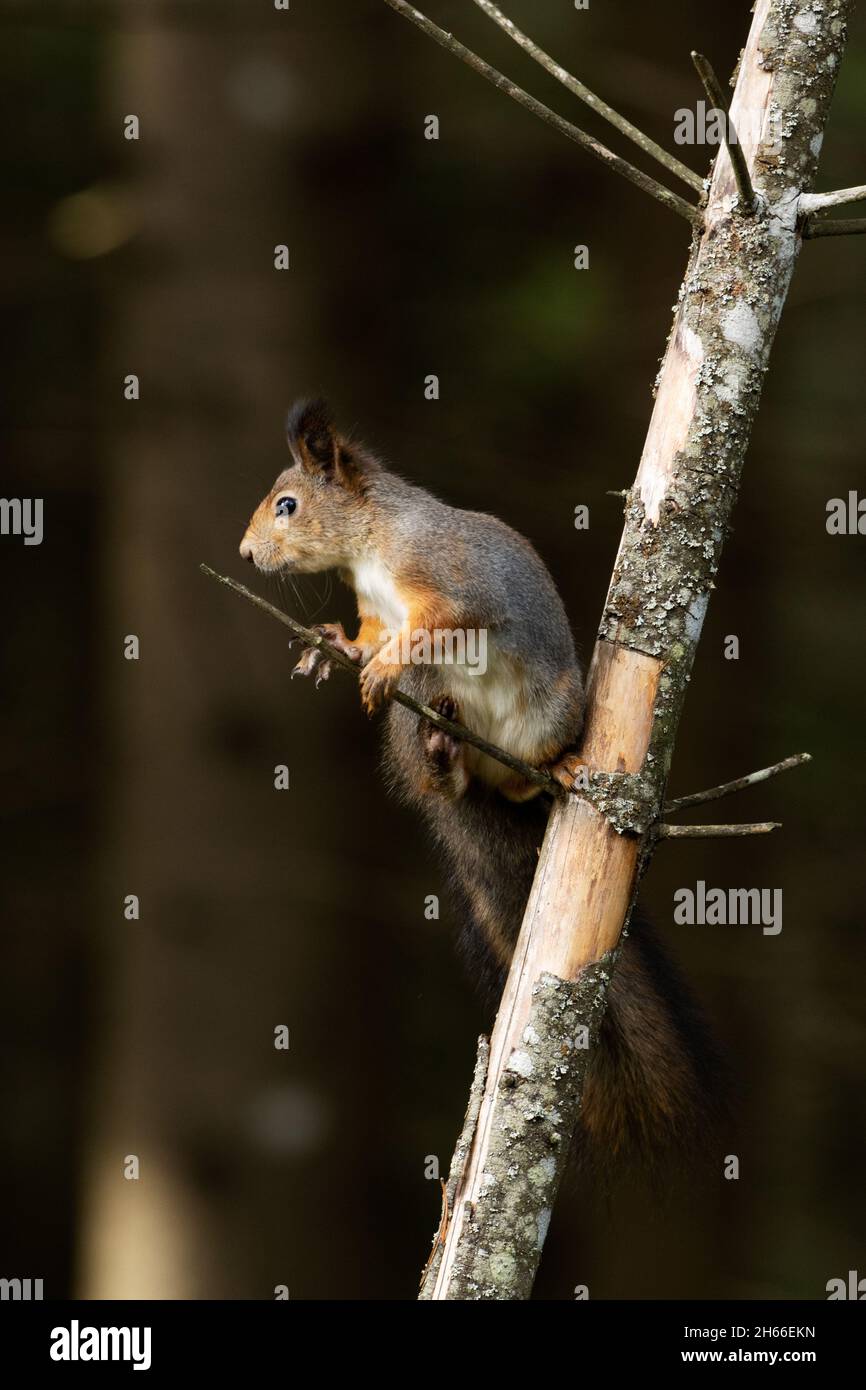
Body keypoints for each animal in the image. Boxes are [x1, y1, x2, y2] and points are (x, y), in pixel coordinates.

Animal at [240, 399, 724, 1169]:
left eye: (287, 506)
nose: (246, 554)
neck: (371, 548)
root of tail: (487, 768)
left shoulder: (452, 580)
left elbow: (439, 624)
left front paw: (376, 662)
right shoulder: (375, 608)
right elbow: (371, 638)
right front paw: (335, 646)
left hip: (551, 711)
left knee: (523, 775)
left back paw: (551, 771)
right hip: (426, 713)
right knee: (443, 761)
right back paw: (442, 757)